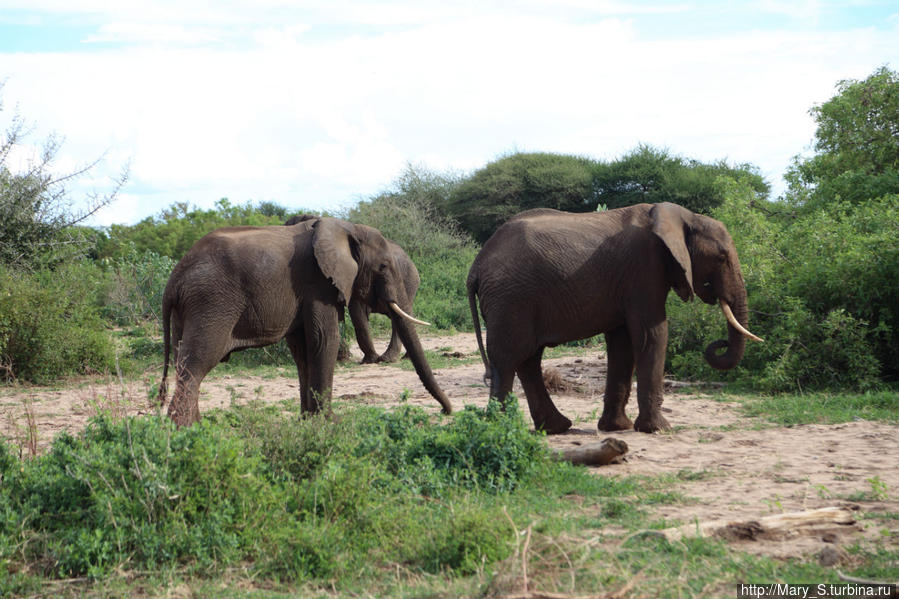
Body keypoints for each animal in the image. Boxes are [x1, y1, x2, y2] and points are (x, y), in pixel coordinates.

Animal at [468, 205, 764, 436]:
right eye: (722, 258)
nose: (719, 344)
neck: (684, 217)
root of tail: (476, 264)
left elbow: (622, 343)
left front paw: (618, 428)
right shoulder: (644, 268)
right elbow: (652, 333)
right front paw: (660, 428)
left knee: (528, 359)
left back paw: (555, 427)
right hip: (510, 298)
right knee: (508, 359)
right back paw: (499, 429)